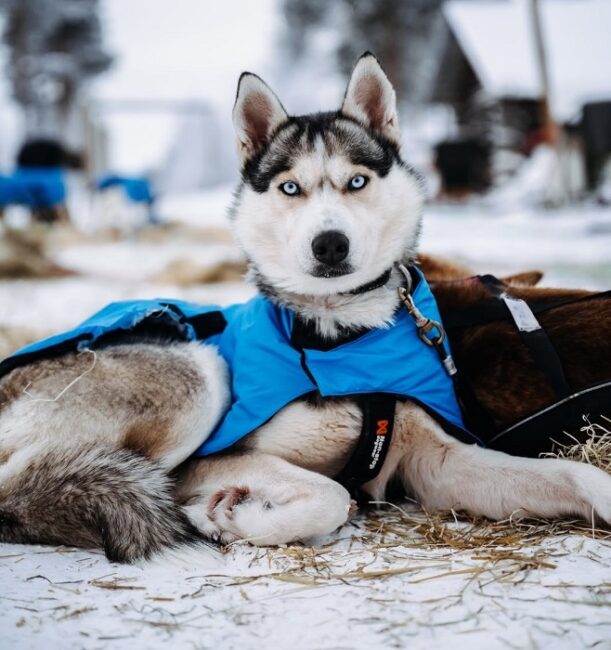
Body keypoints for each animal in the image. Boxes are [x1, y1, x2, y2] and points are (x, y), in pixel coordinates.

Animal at [1, 53, 611, 560]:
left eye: (357, 181)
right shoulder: (210, 459)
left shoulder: (439, 463)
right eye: (290, 188)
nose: (330, 244)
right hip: (198, 376)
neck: (340, 335)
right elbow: (331, 493)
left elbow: (570, 476)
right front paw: (231, 519)